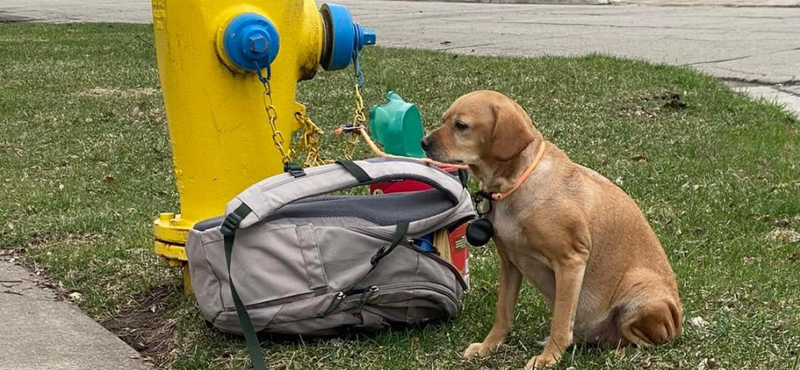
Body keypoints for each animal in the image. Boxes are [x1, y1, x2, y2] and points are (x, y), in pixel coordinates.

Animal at [418, 91, 680, 368]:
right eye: (444, 119)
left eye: (461, 125)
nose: (423, 142)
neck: (515, 184)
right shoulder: (510, 263)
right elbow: (503, 314)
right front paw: (489, 347)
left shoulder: (571, 261)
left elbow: (561, 322)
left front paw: (549, 357)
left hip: (640, 292)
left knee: (644, 339)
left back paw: (620, 351)